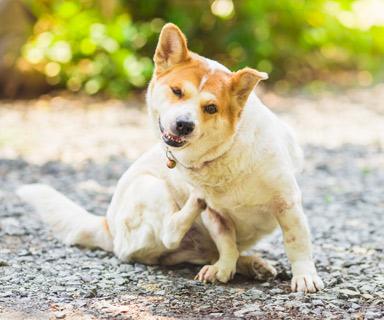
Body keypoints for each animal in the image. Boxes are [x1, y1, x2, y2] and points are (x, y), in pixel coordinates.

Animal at [18, 22, 324, 292]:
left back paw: (251, 264)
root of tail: (107, 226)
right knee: (170, 232)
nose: (183, 125)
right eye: (177, 91)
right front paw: (224, 268)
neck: (226, 152)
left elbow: (296, 242)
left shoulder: (287, 203)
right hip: (149, 186)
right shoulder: (215, 216)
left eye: (211, 108)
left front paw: (304, 277)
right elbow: (226, 242)